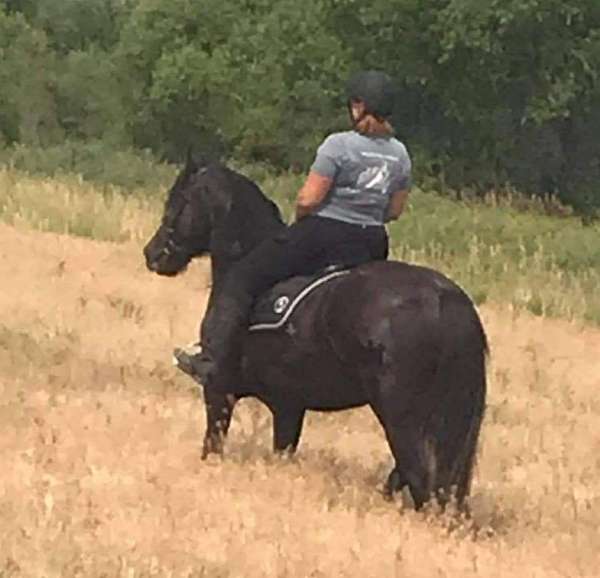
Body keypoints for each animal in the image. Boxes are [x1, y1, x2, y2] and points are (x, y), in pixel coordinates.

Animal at [144, 154, 488, 508]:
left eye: (177, 200)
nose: (152, 254)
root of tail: (443, 299)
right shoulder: (288, 405)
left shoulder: (219, 391)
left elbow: (212, 445)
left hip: (402, 416)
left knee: (418, 477)